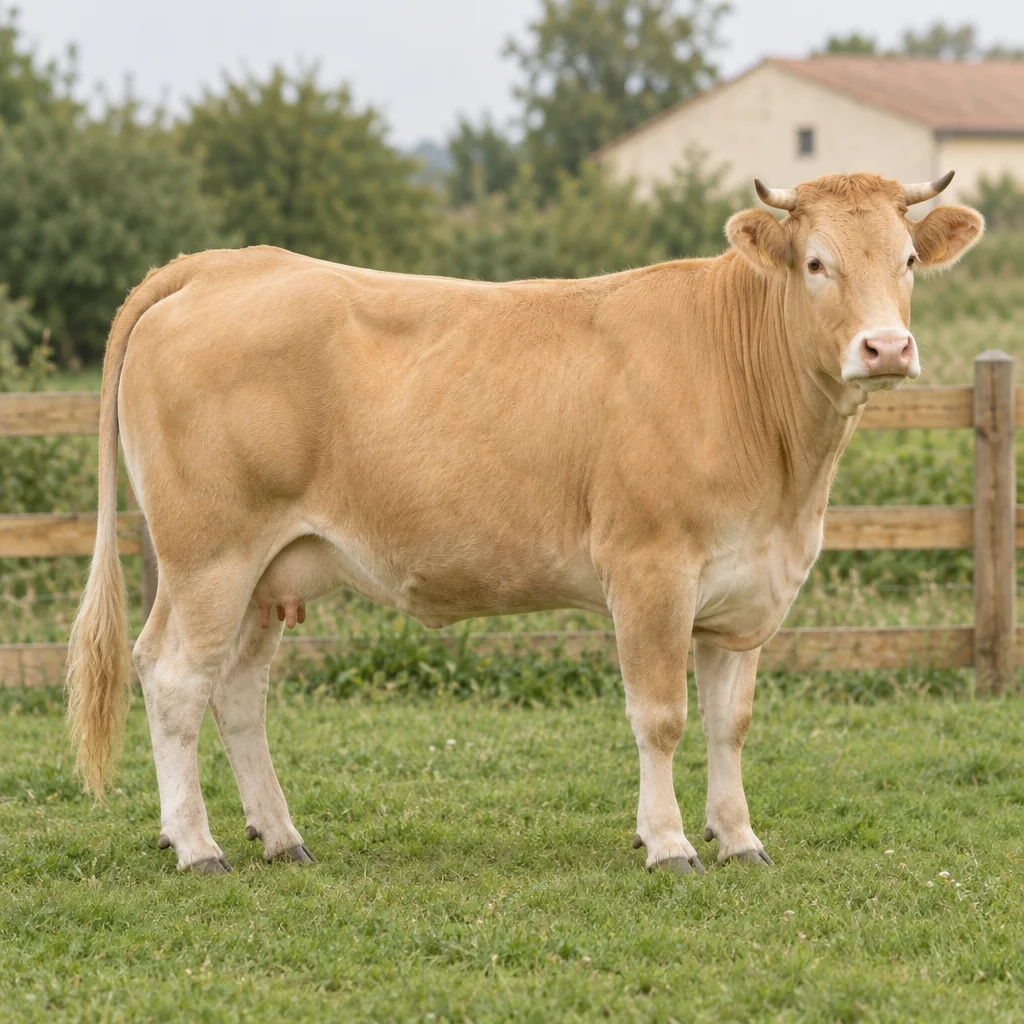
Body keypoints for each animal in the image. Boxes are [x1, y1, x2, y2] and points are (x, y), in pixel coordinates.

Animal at [66, 171, 983, 874]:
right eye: (818, 262)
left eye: (907, 260)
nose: (886, 348)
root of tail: (219, 266)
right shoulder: (649, 570)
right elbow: (661, 716)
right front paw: (669, 843)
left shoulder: (745, 592)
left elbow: (732, 722)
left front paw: (739, 839)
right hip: (210, 556)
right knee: (174, 678)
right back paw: (197, 845)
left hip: (269, 568)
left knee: (237, 691)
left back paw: (281, 836)